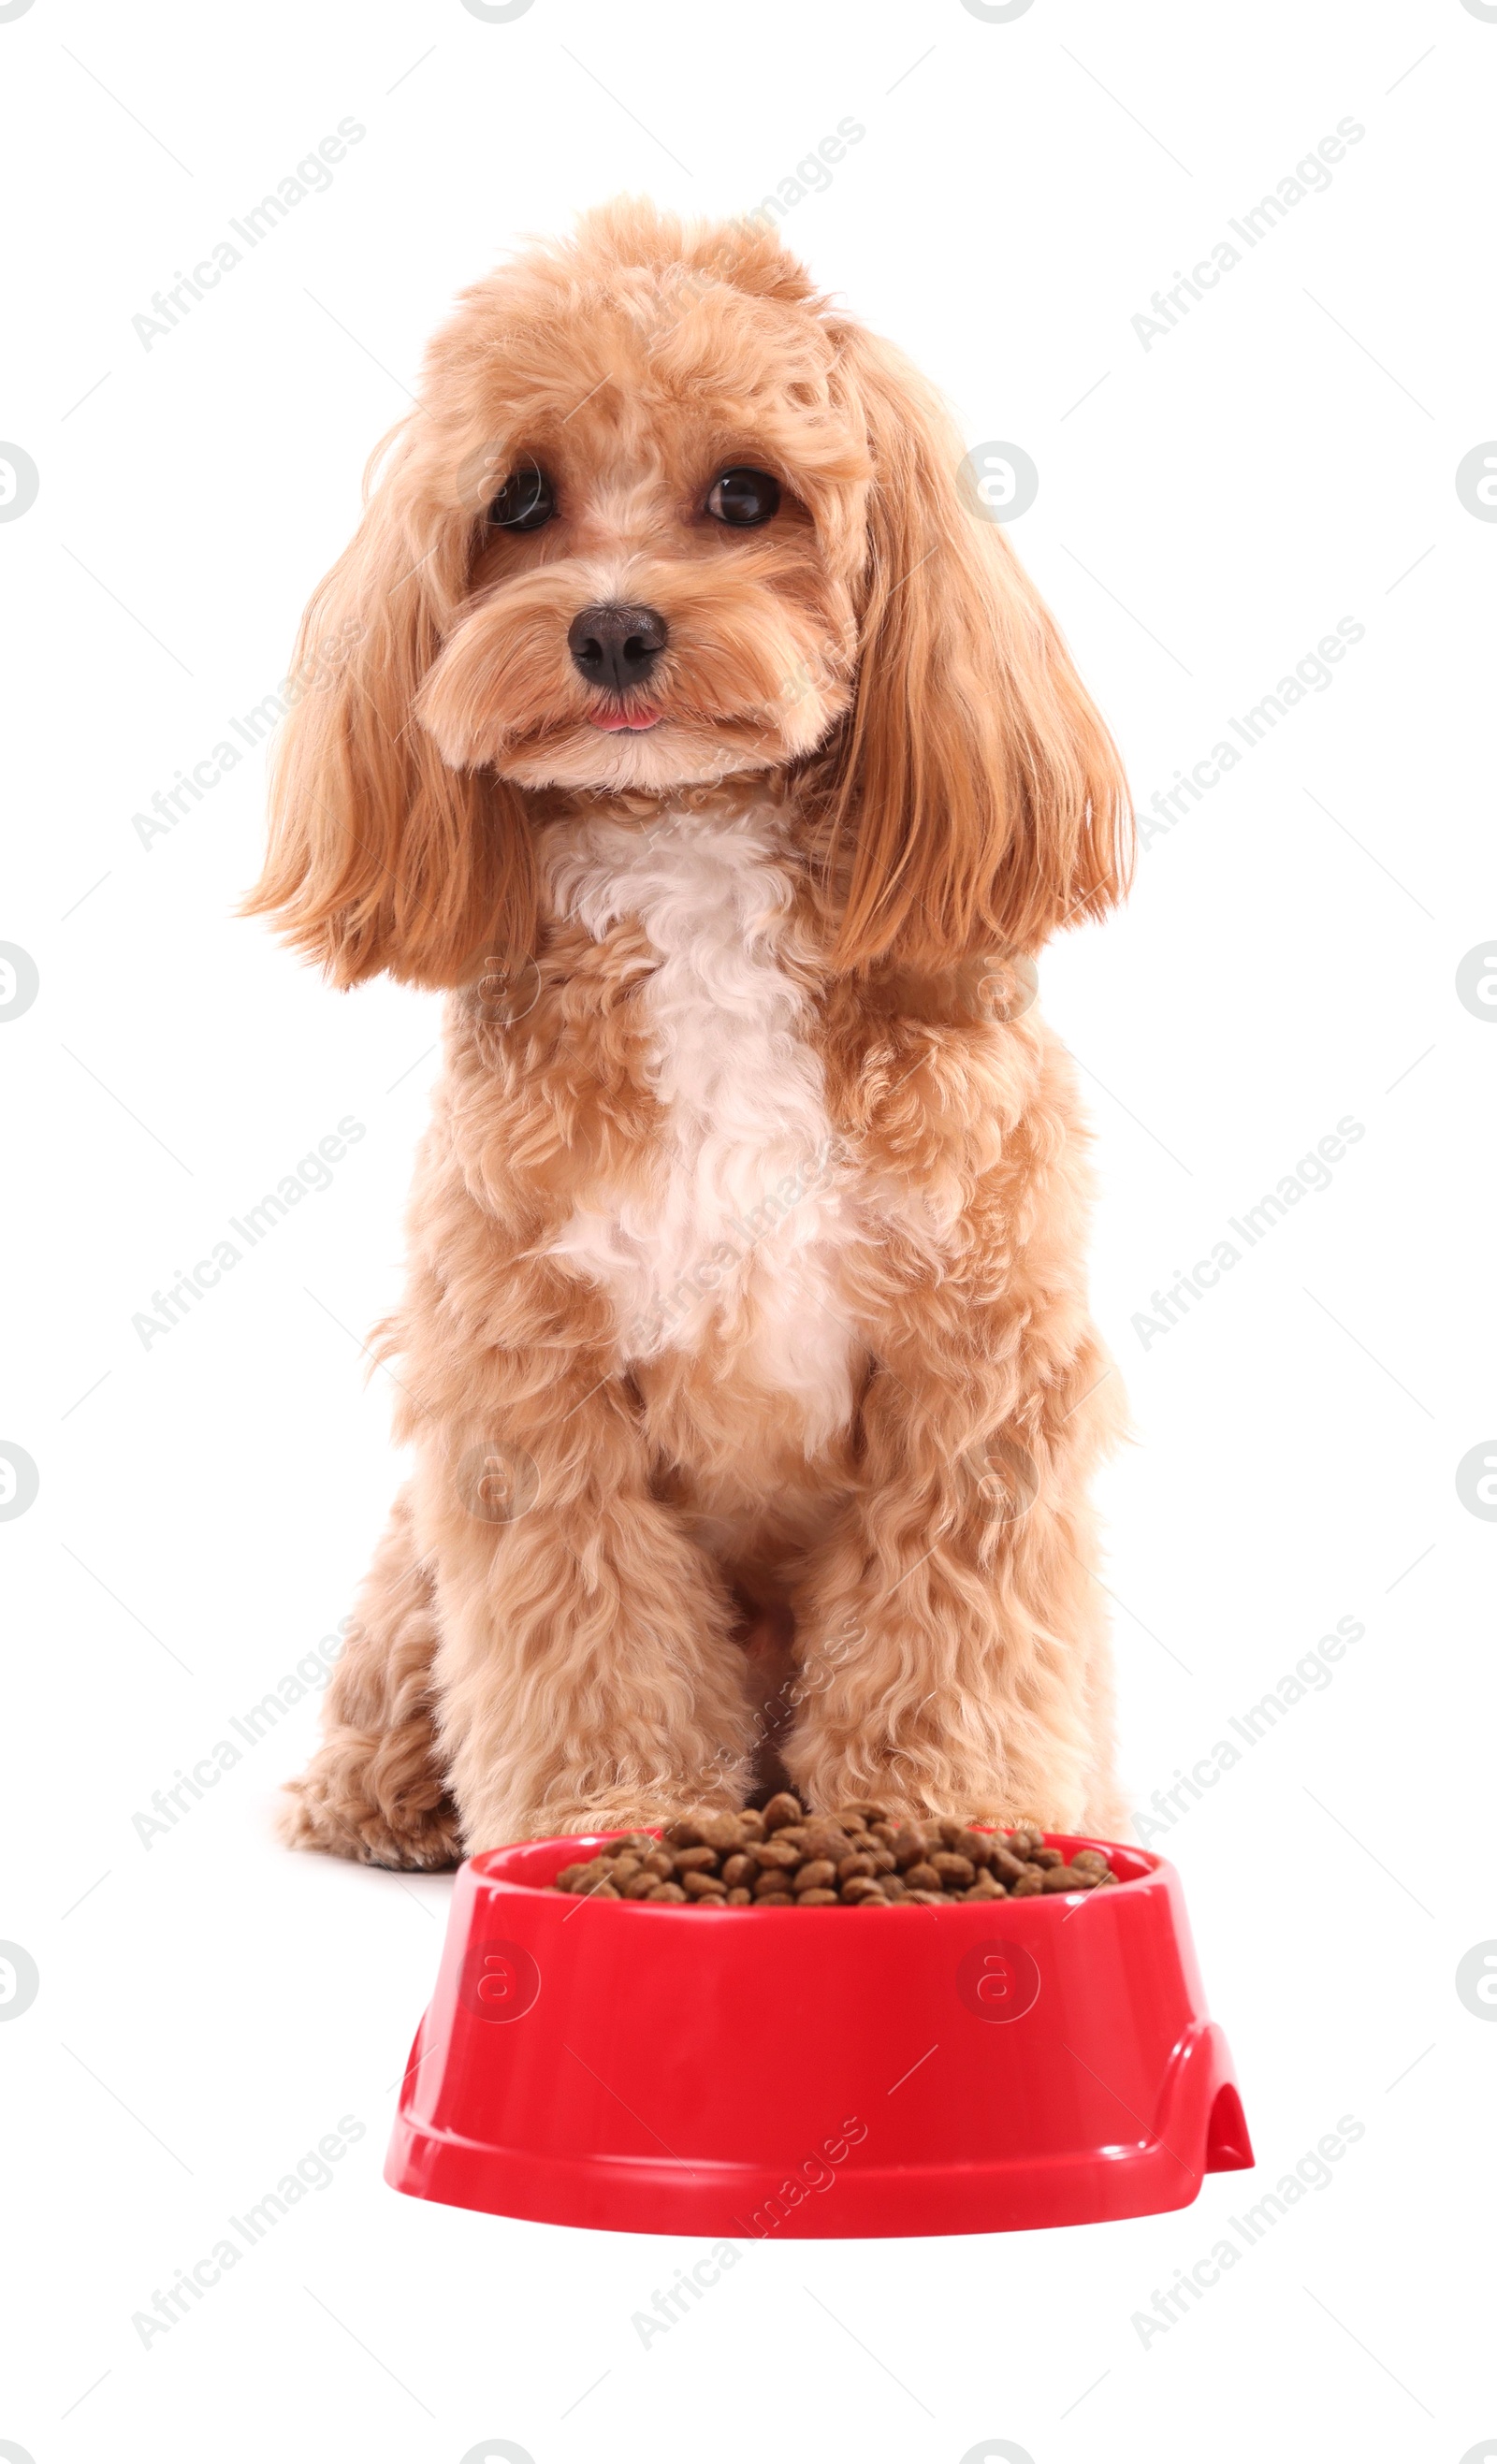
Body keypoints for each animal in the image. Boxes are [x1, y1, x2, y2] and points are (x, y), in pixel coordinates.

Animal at [249, 201, 1134, 1872]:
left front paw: (941, 1810)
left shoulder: (969, 1364)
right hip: (414, 1556)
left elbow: (946, 1632)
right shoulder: (531, 1372)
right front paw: (616, 1817)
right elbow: (585, 1624)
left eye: (745, 491)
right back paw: (383, 1797)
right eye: (520, 498)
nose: (611, 627)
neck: (696, 854)